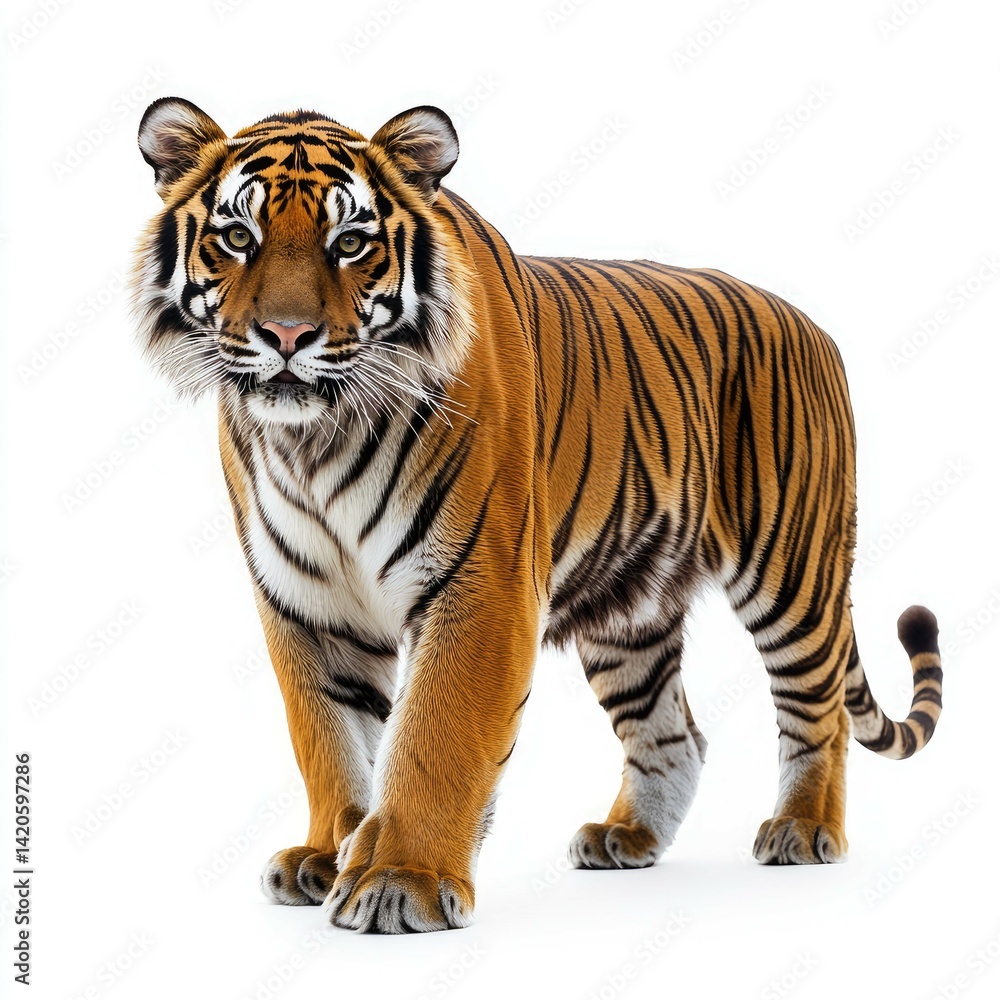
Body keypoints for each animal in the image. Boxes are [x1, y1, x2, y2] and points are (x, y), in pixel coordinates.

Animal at [129, 97, 943, 934]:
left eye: (349, 243)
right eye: (238, 237)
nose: (288, 337)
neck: (316, 438)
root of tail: (814, 327)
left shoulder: (481, 583)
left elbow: (435, 736)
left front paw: (399, 879)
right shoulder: (305, 601)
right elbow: (326, 737)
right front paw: (328, 854)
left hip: (791, 571)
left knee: (818, 710)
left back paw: (802, 829)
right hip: (631, 610)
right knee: (675, 733)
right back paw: (627, 836)